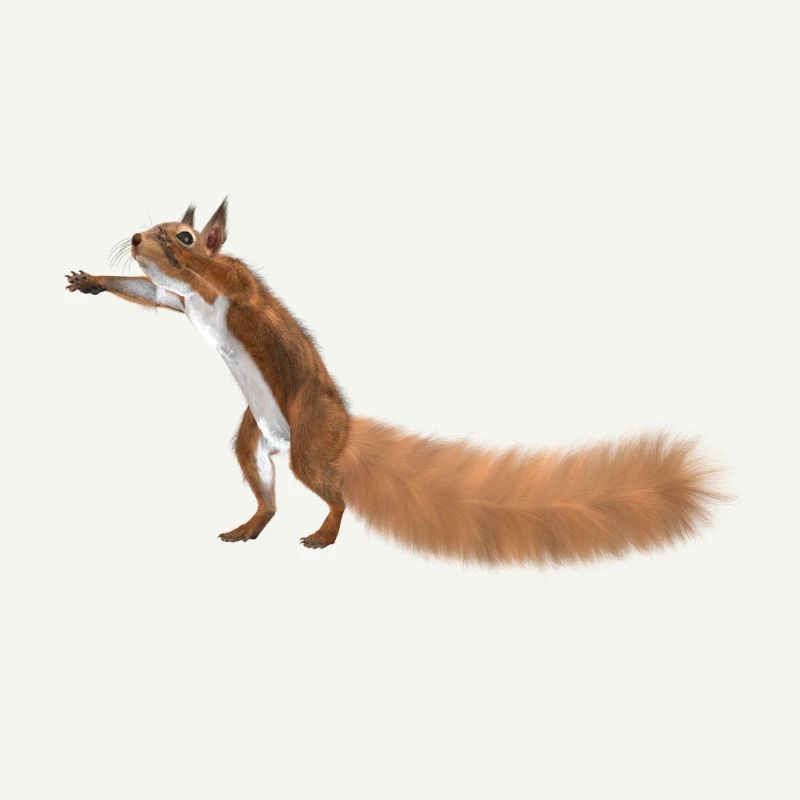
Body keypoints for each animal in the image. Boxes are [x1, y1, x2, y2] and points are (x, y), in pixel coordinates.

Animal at [66, 200, 722, 564]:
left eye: (183, 233)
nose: (137, 237)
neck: (206, 297)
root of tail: (346, 432)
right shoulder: (178, 301)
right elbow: (152, 293)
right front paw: (92, 281)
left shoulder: (240, 286)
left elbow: (215, 276)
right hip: (254, 440)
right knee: (268, 495)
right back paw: (249, 527)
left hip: (310, 443)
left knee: (338, 495)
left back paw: (324, 534)